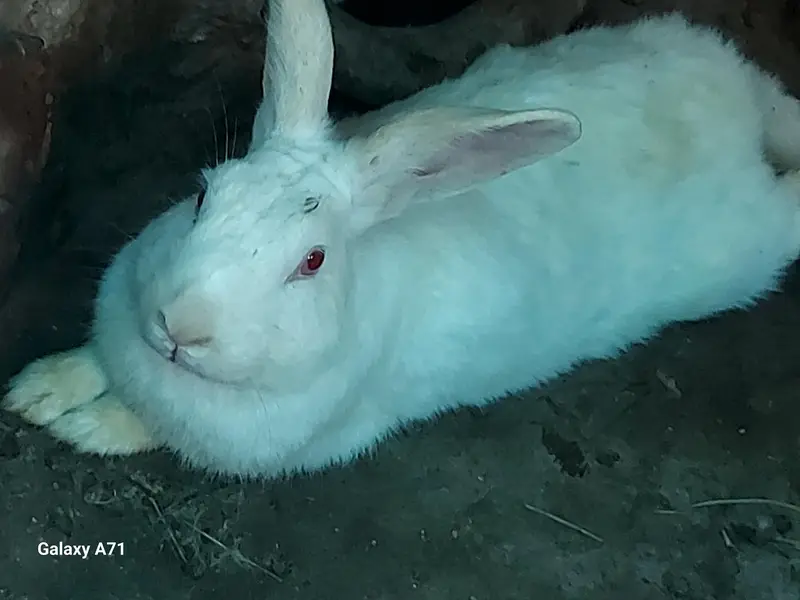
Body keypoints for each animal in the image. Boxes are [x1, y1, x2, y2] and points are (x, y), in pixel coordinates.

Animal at [5, 0, 800, 479]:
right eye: (203, 195)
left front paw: (85, 428)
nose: (181, 327)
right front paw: (38, 392)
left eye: (313, 261)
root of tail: (740, 99)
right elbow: (88, 363)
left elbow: (144, 427)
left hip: (748, 246)